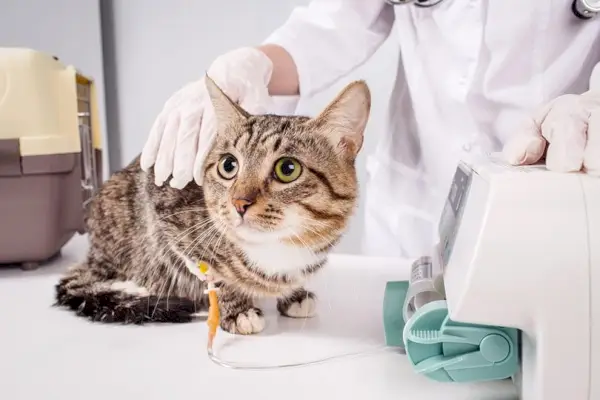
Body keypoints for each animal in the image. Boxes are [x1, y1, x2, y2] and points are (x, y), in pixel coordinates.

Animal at [54, 76, 370, 334]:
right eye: (228, 165)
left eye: (287, 169)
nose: (239, 202)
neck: (278, 246)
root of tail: (94, 253)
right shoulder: (167, 213)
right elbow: (215, 276)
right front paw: (237, 308)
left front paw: (293, 293)